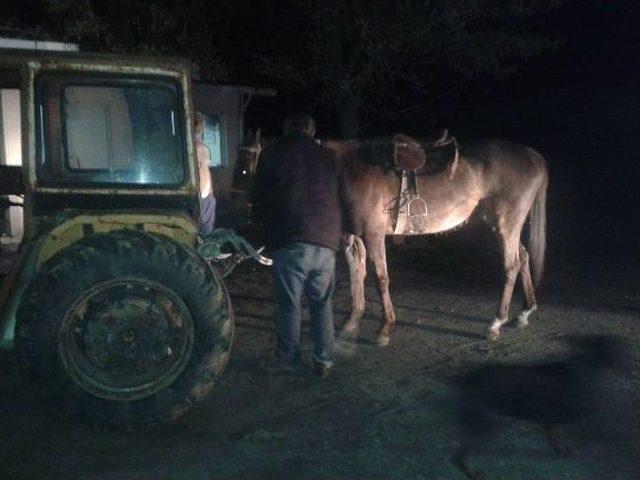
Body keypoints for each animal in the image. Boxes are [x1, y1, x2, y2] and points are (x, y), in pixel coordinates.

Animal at [328, 133, 548, 344]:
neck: (350, 169)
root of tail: (533, 156)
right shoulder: (353, 238)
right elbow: (356, 276)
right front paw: (351, 321)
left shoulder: (373, 234)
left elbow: (380, 279)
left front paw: (385, 328)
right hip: (498, 225)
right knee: (524, 257)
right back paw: (525, 312)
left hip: (507, 225)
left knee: (512, 266)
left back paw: (496, 323)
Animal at [450, 336, 624, 478]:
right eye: (615, 349)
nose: (624, 364)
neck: (585, 366)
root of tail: (468, 379)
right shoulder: (555, 418)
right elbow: (556, 435)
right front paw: (561, 451)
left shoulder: (550, 421)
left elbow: (553, 436)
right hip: (486, 425)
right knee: (458, 457)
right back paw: (473, 473)